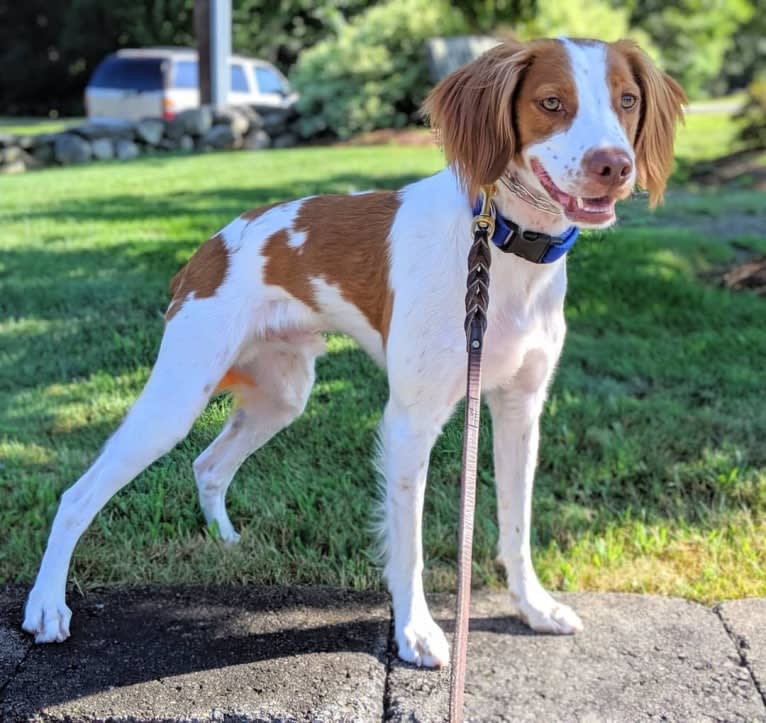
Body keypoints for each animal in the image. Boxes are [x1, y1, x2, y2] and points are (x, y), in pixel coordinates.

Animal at [24, 35, 688, 668]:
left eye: (627, 101)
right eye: (551, 103)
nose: (614, 166)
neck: (502, 249)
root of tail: (210, 246)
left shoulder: (520, 409)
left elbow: (516, 525)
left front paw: (533, 607)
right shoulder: (410, 420)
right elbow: (409, 543)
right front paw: (415, 631)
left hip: (282, 395)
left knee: (208, 465)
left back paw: (229, 544)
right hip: (178, 396)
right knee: (76, 497)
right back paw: (47, 605)